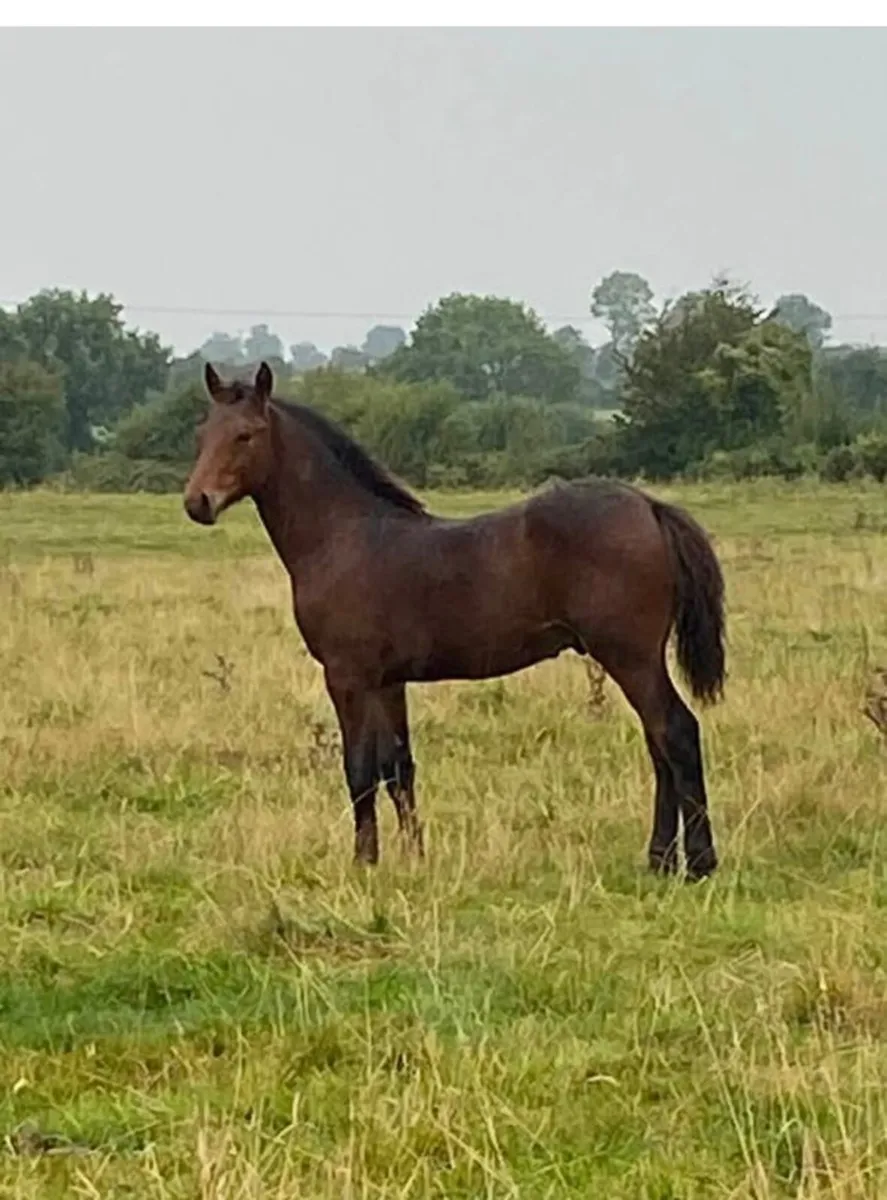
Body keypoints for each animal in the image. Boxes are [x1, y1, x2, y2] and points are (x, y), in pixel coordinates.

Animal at [184, 361, 726, 880]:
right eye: (203, 433)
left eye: (246, 434)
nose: (197, 503)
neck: (347, 537)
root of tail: (648, 505)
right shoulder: (388, 682)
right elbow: (397, 767)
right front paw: (414, 858)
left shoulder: (347, 677)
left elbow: (358, 771)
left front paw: (364, 862)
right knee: (659, 744)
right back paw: (660, 859)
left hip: (630, 657)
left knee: (676, 734)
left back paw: (699, 863)